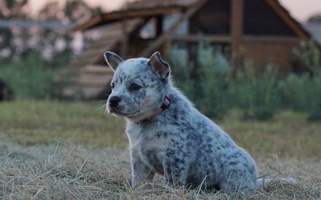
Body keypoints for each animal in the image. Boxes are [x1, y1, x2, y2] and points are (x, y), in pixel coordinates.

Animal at [103, 50, 296, 195]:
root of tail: (254, 179)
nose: (113, 100)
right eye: (112, 86)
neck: (147, 122)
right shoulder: (138, 157)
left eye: (134, 86)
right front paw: (137, 191)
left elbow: (172, 182)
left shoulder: (175, 156)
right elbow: (138, 180)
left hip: (233, 173)